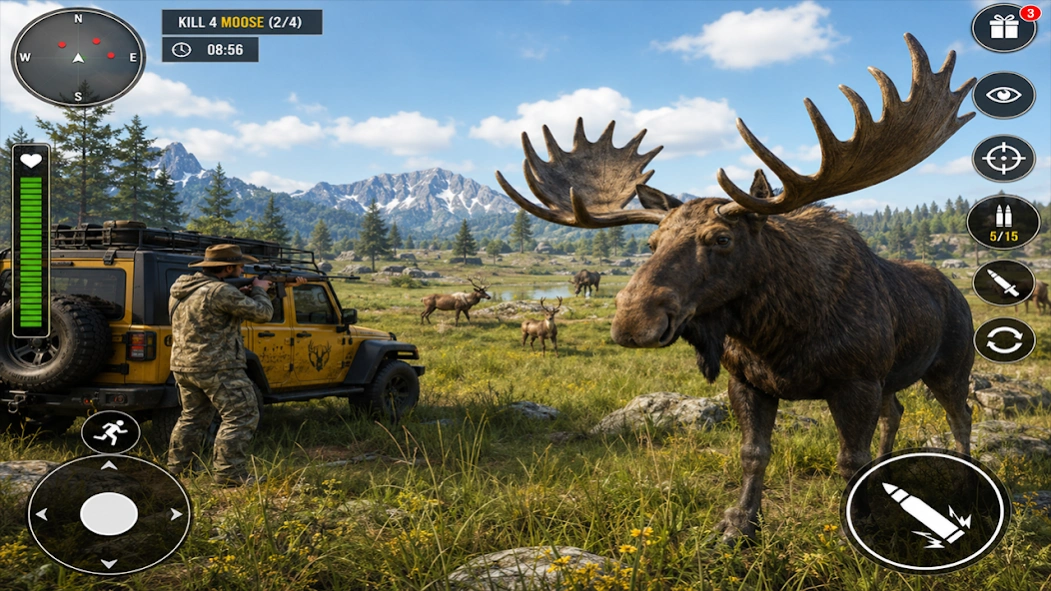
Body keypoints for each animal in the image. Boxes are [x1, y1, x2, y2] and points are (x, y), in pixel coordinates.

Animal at [495, 34, 976, 545]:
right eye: (651, 242)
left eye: (721, 239)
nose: (632, 322)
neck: (780, 334)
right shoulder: (746, 381)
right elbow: (753, 454)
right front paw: (739, 524)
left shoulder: (856, 381)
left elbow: (850, 460)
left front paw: (858, 523)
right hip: (894, 377)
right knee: (897, 411)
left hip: (950, 365)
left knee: (959, 416)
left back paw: (965, 485)